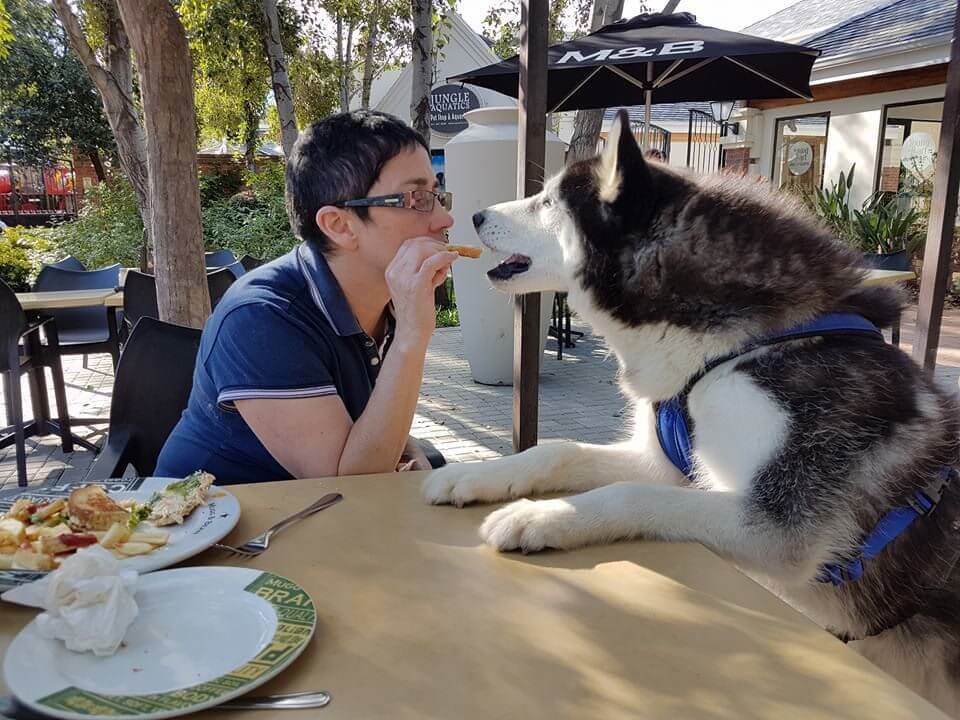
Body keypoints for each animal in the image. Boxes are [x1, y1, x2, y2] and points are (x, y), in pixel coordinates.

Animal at [424, 111, 960, 708]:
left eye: (547, 202)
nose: (473, 214)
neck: (738, 347)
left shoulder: (777, 526)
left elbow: (628, 494)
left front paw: (540, 516)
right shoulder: (668, 462)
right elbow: (557, 450)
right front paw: (476, 476)